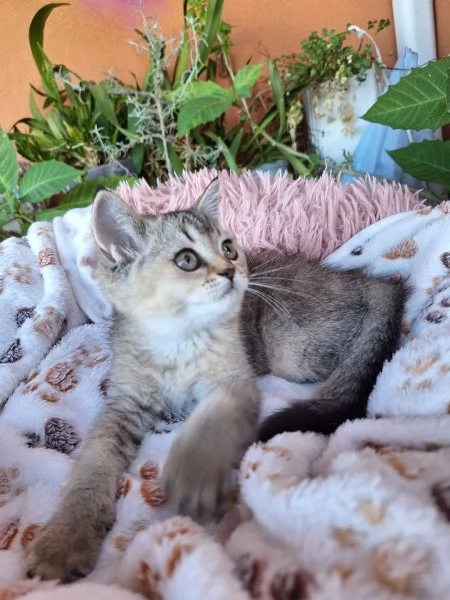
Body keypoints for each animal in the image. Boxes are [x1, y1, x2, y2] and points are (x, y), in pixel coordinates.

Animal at [24, 179, 404, 580]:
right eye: (186, 259)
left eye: (228, 248)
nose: (231, 271)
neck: (177, 340)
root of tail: (372, 282)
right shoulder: (123, 404)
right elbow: (92, 463)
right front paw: (64, 539)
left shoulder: (235, 380)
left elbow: (209, 420)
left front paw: (195, 475)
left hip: (291, 348)